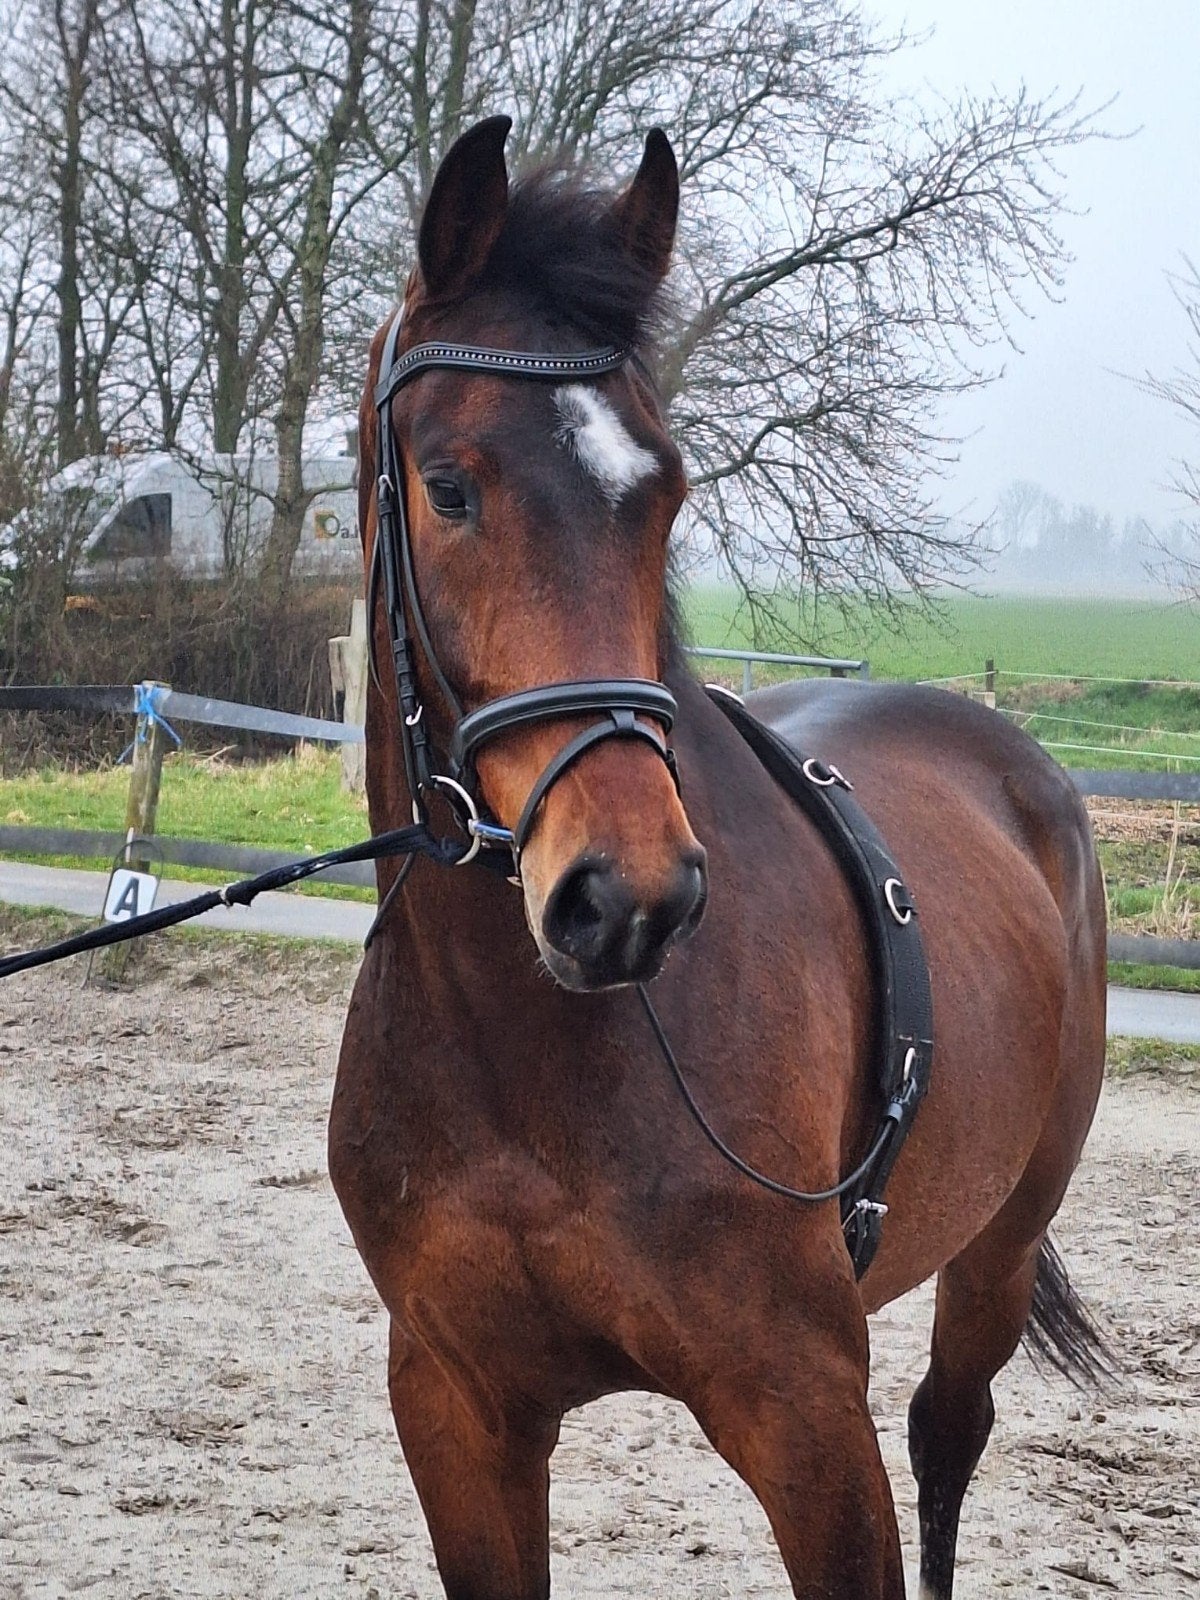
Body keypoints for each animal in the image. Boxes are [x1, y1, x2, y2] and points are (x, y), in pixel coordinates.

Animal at [330, 116, 1108, 1600]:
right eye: (448, 486)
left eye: (664, 492)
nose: (625, 897)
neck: (536, 1057)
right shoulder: (457, 1409)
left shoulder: (804, 1415)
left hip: (993, 1252)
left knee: (949, 1436)